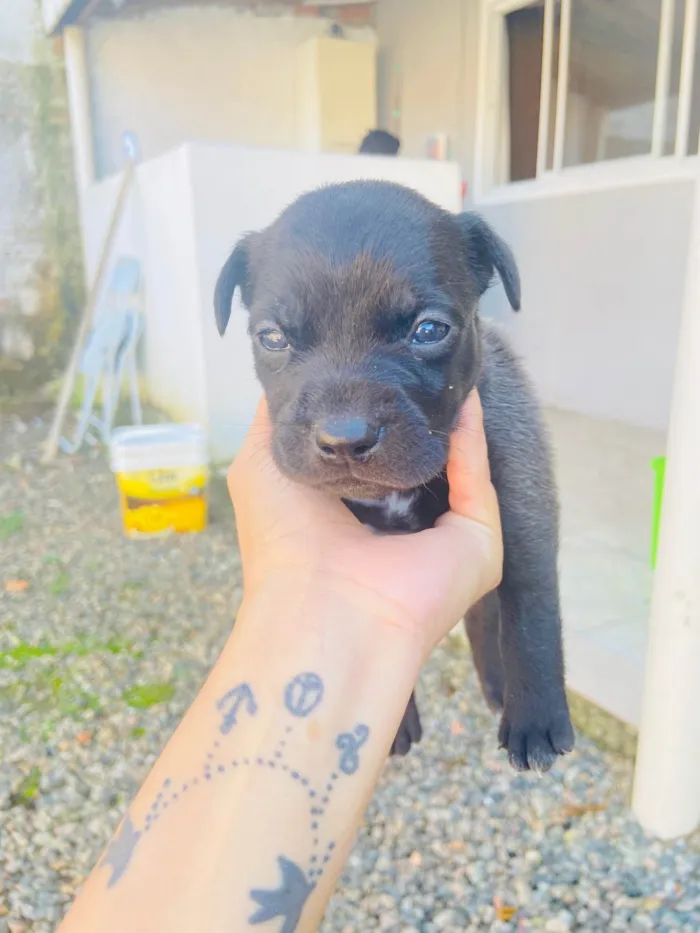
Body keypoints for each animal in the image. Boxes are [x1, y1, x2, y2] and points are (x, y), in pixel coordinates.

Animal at [213, 180, 576, 772]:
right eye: (272, 338)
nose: (344, 438)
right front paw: (398, 719)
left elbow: (531, 615)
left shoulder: (525, 513)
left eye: (428, 330)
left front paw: (537, 715)